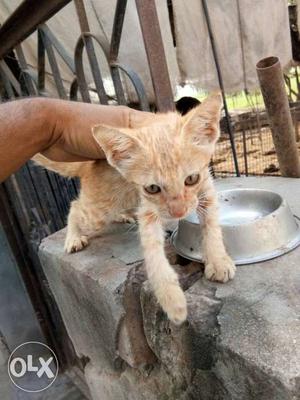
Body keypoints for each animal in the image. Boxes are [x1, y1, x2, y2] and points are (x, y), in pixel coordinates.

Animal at [34, 96, 236, 324]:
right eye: (153, 188)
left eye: (191, 179)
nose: (179, 213)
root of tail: (89, 165)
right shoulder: (148, 210)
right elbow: (153, 253)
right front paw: (172, 300)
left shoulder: (206, 190)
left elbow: (211, 226)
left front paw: (217, 261)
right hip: (99, 211)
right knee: (75, 206)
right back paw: (74, 237)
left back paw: (124, 216)